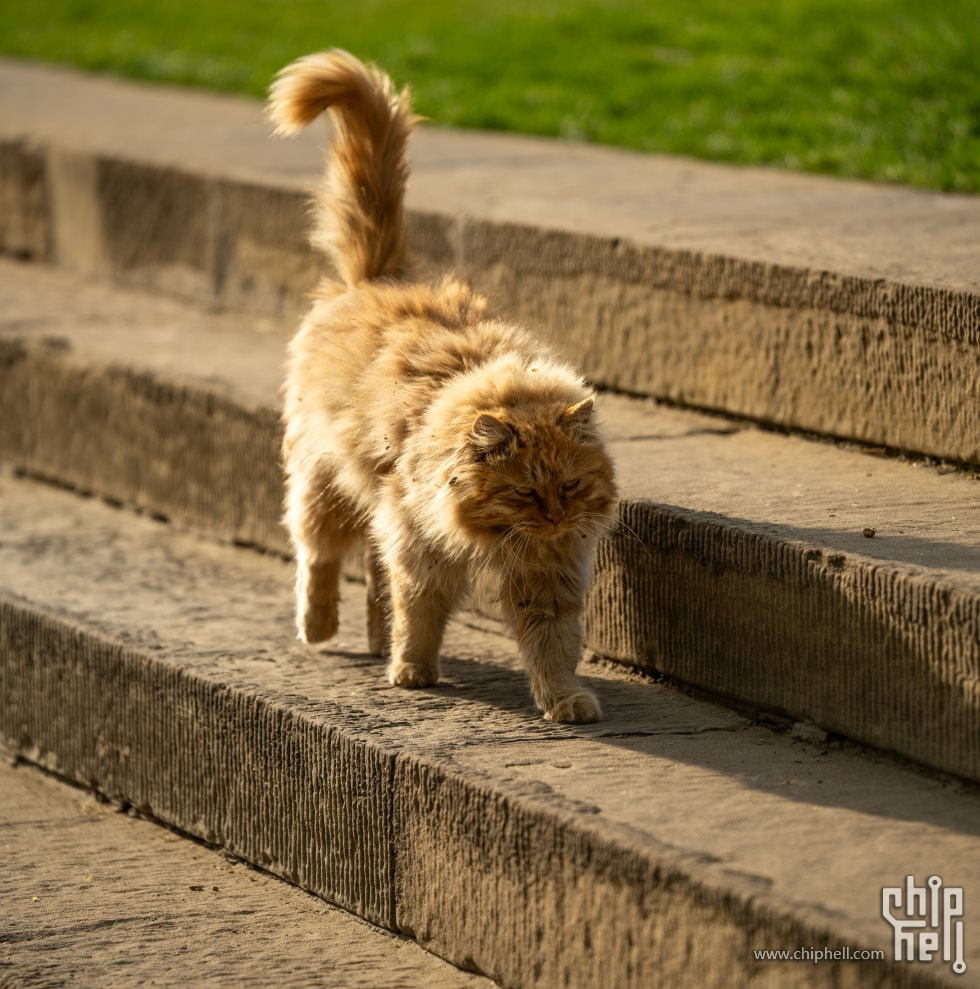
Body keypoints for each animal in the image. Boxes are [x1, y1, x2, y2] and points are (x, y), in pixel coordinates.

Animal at [268, 50, 616, 720]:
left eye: (569, 486)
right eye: (526, 493)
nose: (557, 516)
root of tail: (380, 276)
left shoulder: (549, 573)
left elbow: (553, 646)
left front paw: (565, 701)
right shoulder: (418, 546)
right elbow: (420, 615)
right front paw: (412, 671)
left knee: (368, 575)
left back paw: (373, 641)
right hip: (322, 482)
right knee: (318, 556)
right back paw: (321, 629)